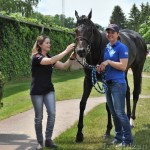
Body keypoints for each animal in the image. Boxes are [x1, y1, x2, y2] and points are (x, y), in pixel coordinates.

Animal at [74, 9, 147, 142]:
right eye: (76, 30)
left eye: (90, 29)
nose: (81, 51)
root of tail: (138, 37)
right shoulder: (88, 81)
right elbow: (82, 103)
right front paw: (79, 134)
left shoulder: (107, 82)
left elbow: (108, 106)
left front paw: (108, 130)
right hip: (124, 72)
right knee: (127, 91)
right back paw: (127, 118)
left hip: (137, 69)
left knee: (135, 93)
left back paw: (131, 120)